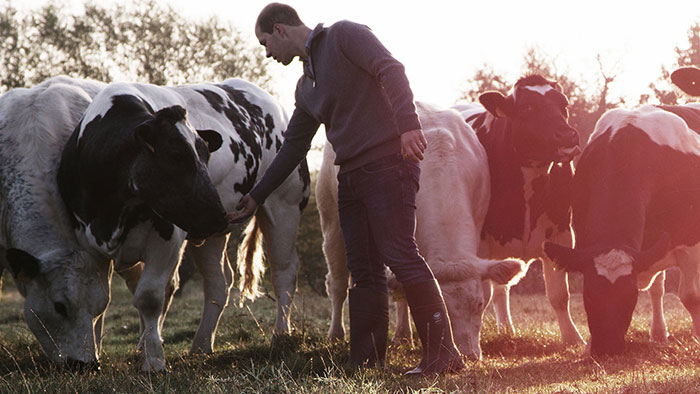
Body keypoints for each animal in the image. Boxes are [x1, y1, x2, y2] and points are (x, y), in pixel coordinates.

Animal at [320, 101, 528, 360]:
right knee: (338, 283)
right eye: (443, 309)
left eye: (480, 304)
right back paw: (338, 334)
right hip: (332, 221)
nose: (469, 355)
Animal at [448, 75, 584, 346]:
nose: (567, 135)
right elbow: (482, 292)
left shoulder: (561, 232)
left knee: (502, 289)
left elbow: (559, 295)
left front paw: (573, 338)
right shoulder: (480, 242)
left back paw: (507, 329)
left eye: (563, 104)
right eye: (527, 107)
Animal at [544, 103, 700, 356]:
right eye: (589, 296)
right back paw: (658, 333)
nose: (606, 347)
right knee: (657, 289)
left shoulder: (690, 244)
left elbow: (691, 296)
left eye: (629, 299)